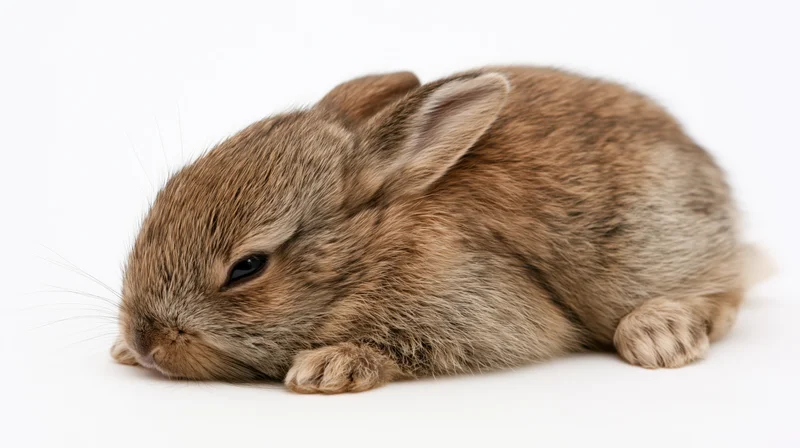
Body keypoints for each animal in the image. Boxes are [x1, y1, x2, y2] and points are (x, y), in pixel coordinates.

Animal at [111, 66, 760, 394]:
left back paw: (658, 335)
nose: (144, 343)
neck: (372, 250)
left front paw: (328, 367)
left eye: (247, 267)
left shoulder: (476, 309)